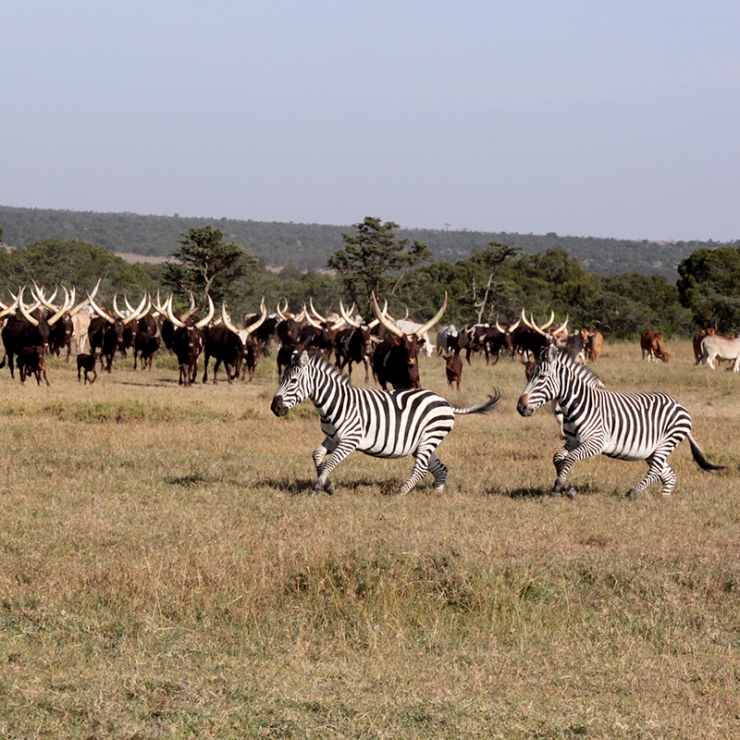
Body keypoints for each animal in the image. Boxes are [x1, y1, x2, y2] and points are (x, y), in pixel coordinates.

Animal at [516, 346, 724, 498]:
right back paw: (663, 499)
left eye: (541, 377)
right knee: (668, 474)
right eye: (529, 375)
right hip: (652, 449)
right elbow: (558, 458)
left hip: (666, 442)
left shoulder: (596, 442)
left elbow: (568, 460)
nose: (521, 407)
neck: (577, 403)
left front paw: (558, 489)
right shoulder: (572, 441)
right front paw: (568, 488)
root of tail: (679, 404)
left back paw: (632, 493)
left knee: (656, 470)